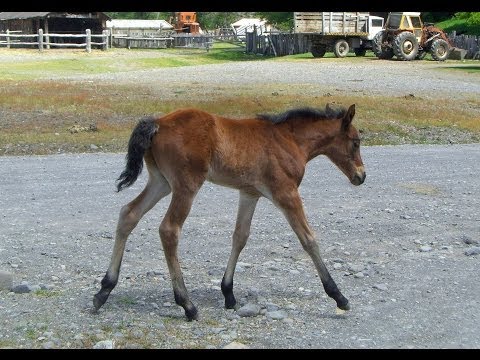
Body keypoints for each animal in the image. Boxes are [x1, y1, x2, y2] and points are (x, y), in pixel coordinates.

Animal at [93, 102, 364, 320]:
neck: (288, 139)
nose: (361, 176)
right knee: (169, 229)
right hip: (186, 185)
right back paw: (187, 304)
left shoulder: (249, 193)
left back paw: (104, 290)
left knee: (128, 214)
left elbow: (240, 237)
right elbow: (308, 239)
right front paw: (338, 296)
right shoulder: (285, 193)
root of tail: (158, 123)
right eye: (356, 142)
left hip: (161, 182)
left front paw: (229, 293)